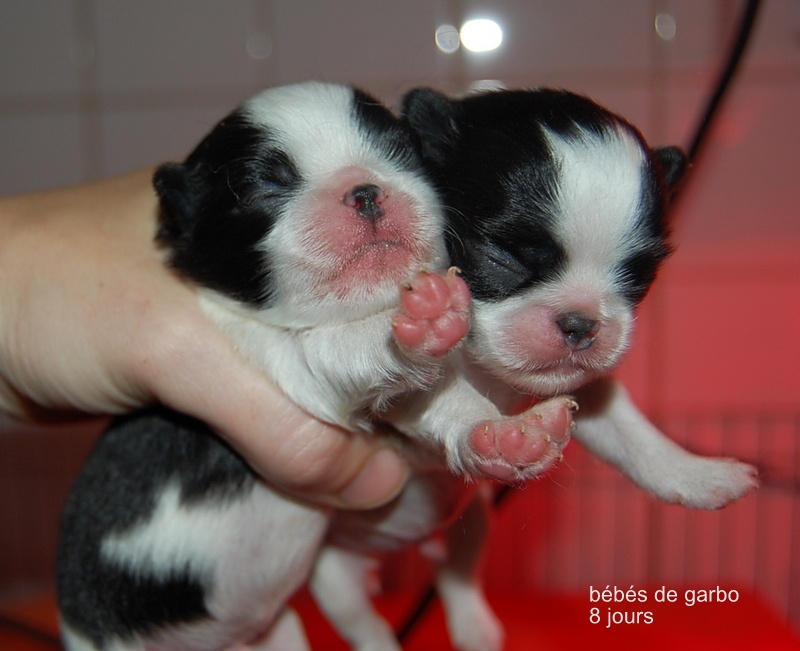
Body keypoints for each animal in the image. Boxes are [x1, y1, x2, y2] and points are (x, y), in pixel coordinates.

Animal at [56, 82, 574, 651]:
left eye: (401, 151)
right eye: (264, 185)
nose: (365, 191)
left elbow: (447, 403)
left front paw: (504, 437)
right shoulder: (288, 363)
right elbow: (346, 348)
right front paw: (422, 316)